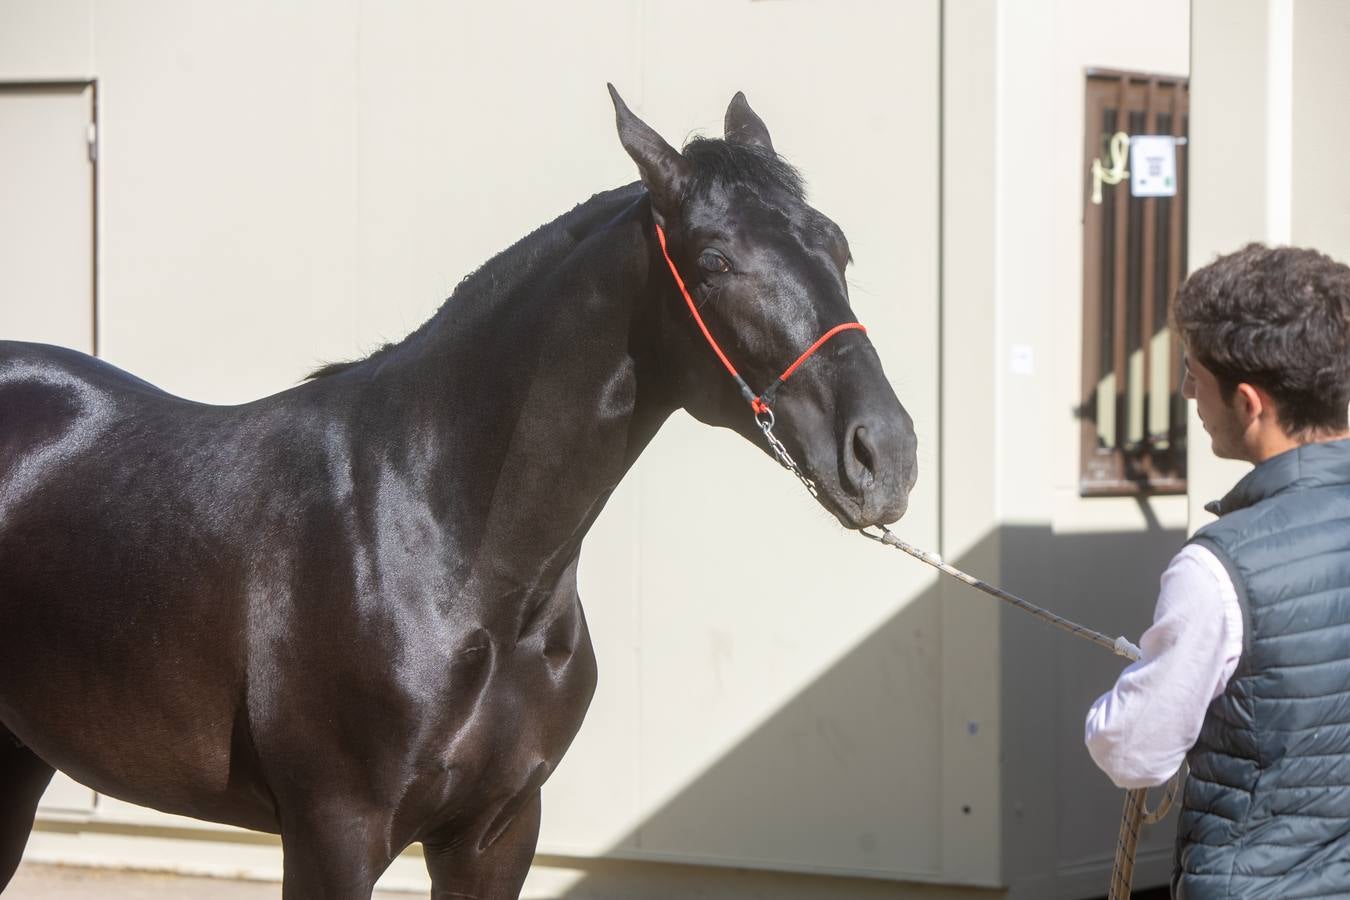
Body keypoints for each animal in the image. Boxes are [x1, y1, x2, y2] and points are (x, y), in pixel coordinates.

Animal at [0, 86, 918, 900]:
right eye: (716, 261)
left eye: (837, 247)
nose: (888, 455)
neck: (441, 544)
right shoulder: (333, 836)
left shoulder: (497, 834)